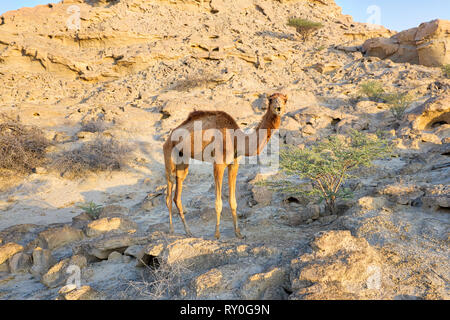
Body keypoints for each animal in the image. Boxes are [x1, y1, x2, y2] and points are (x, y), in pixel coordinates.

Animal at [163, 92, 286, 238]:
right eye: (271, 99)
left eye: (285, 100)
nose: (278, 108)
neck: (237, 140)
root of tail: (168, 138)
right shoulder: (219, 164)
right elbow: (218, 202)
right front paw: (217, 234)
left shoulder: (234, 164)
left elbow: (233, 201)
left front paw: (238, 233)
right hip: (169, 155)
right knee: (168, 194)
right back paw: (171, 230)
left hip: (183, 160)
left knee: (177, 195)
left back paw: (188, 231)